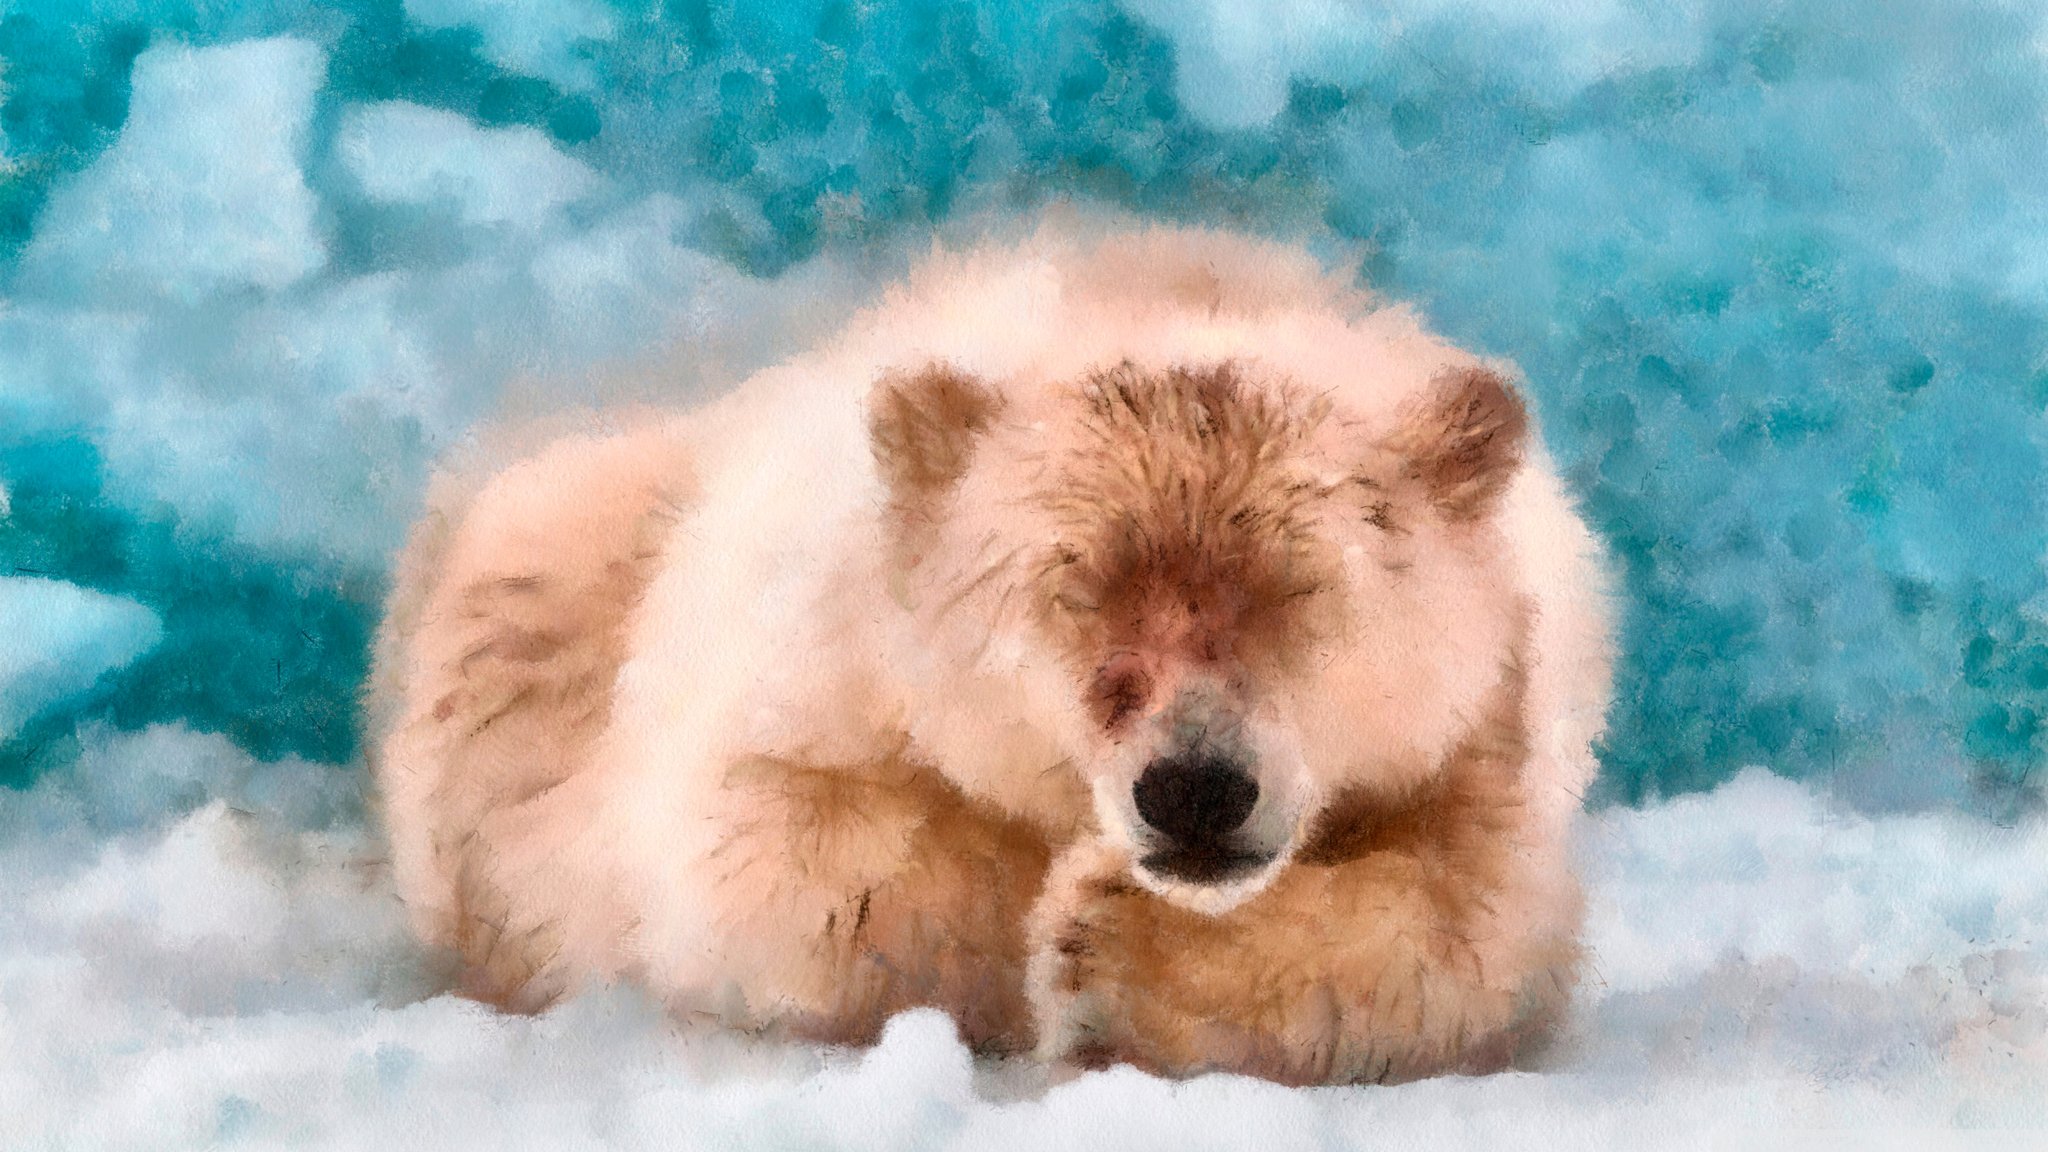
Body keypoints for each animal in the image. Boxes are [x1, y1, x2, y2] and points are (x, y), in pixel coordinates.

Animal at [367, 219, 1615, 1084]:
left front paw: (1114, 941)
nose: (1194, 789)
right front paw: (1053, 918)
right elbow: (769, 861)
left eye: (1300, 589)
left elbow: (1467, 927)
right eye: (1075, 588)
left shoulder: (1492, 726)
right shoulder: (809, 652)